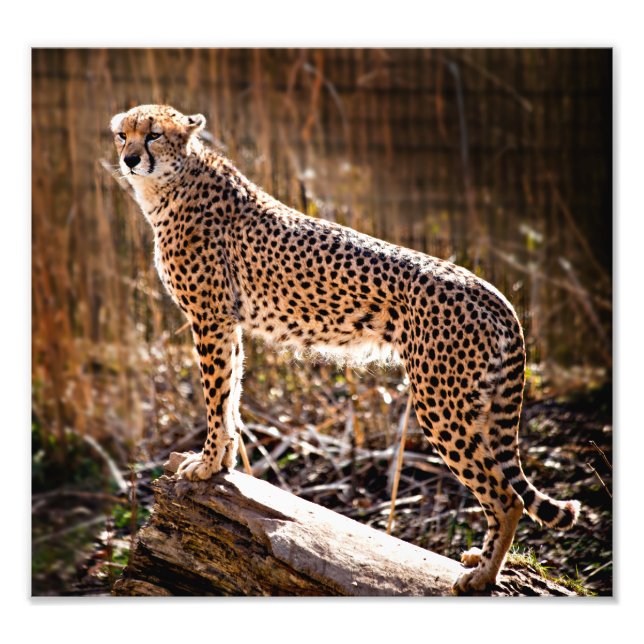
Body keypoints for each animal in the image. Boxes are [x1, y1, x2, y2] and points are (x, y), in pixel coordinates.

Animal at [110, 104, 581, 593]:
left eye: (154, 135)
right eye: (123, 134)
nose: (129, 159)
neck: (173, 182)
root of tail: (492, 292)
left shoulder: (210, 318)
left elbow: (216, 398)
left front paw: (205, 465)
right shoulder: (227, 325)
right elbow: (230, 396)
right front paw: (220, 463)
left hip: (440, 402)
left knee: (507, 497)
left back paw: (483, 576)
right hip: (478, 403)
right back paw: (480, 560)